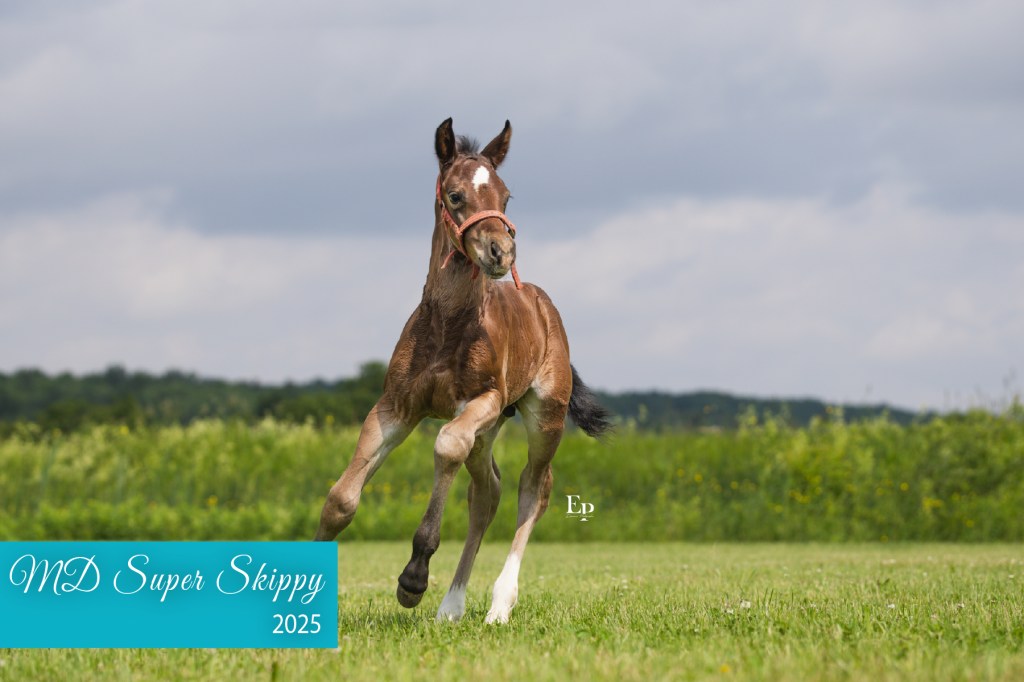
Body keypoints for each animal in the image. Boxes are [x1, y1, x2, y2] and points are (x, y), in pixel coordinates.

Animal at [314, 118, 612, 624]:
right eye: (455, 195)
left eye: (506, 197)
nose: (502, 251)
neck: (448, 324)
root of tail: (541, 302)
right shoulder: (395, 407)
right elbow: (340, 499)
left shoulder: (481, 400)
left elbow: (446, 444)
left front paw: (413, 579)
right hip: (490, 430)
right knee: (487, 493)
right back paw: (452, 605)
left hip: (543, 416)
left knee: (533, 489)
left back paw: (499, 605)